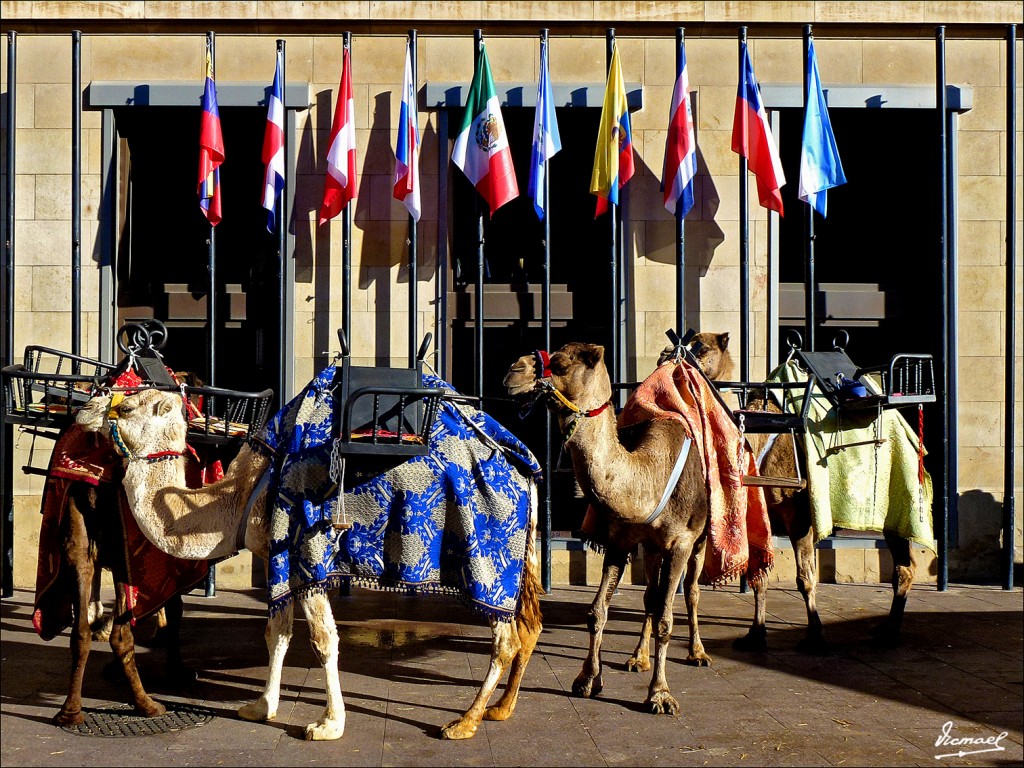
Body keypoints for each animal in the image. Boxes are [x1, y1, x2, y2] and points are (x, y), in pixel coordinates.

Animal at [499, 342, 770, 716]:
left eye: (561, 363)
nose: (513, 372)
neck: (647, 473)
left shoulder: (681, 542)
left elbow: (667, 620)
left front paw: (659, 695)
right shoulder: (621, 540)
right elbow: (598, 610)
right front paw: (587, 679)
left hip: (701, 539)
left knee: (691, 592)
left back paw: (697, 652)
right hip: (652, 547)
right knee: (650, 596)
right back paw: (637, 658)